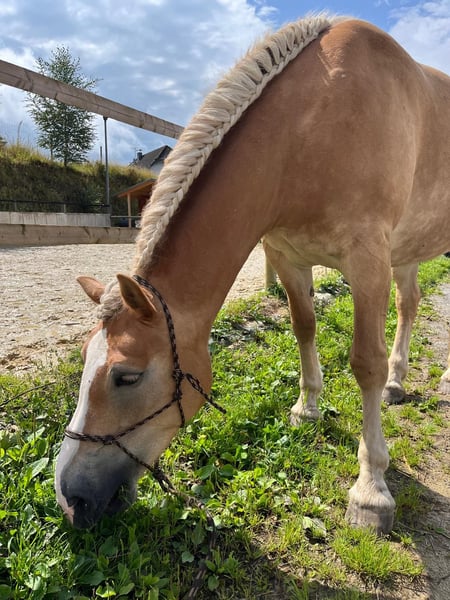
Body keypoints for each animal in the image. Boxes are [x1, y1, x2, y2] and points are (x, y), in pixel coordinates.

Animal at [55, 14, 450, 533]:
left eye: (126, 377)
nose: (70, 497)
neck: (314, 126)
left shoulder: (368, 261)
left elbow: (366, 362)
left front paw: (371, 491)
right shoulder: (285, 254)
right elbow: (304, 327)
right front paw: (307, 409)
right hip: (405, 254)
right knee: (409, 304)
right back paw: (397, 384)